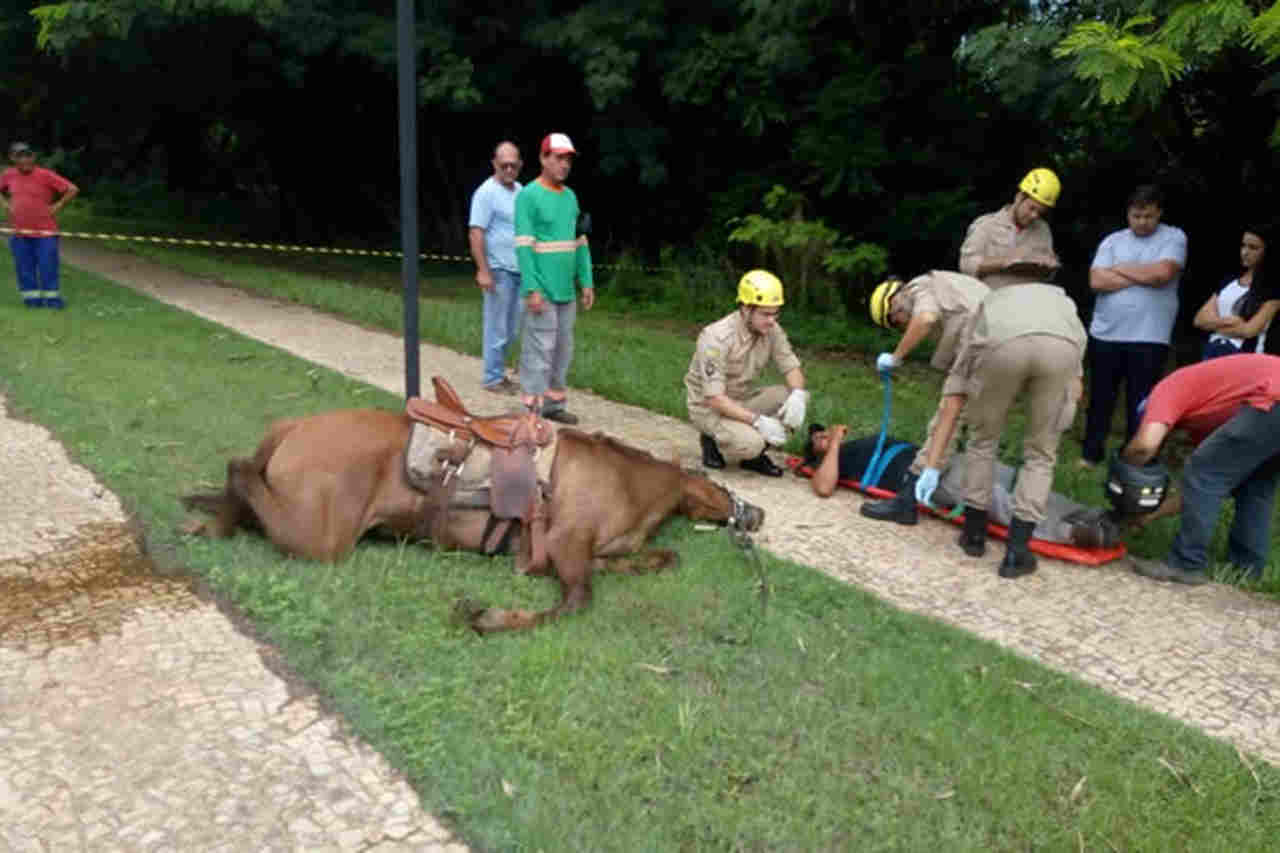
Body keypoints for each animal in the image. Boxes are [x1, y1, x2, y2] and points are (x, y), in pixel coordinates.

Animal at [180, 404, 757, 630]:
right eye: (723, 486)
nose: (755, 514)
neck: (628, 481)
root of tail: (294, 428)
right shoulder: (565, 544)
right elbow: (574, 601)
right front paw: (487, 616)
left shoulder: (591, 551)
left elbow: (660, 558)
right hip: (319, 536)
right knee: (240, 473)